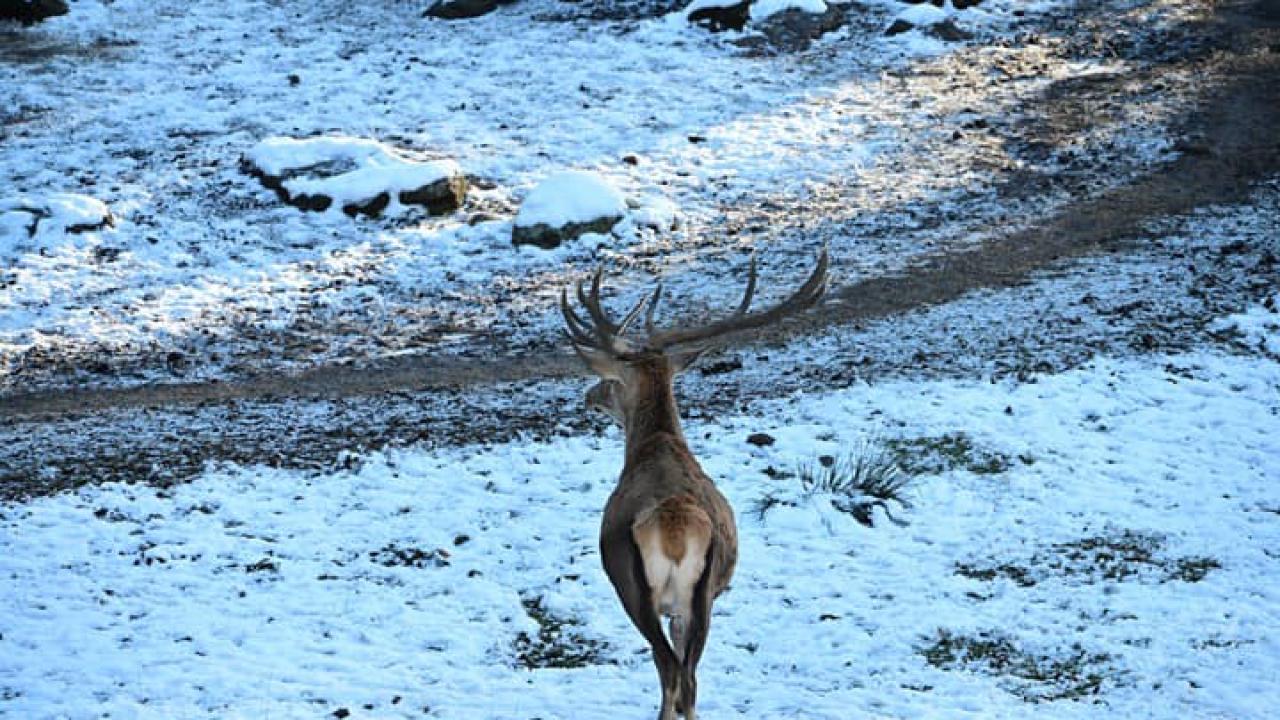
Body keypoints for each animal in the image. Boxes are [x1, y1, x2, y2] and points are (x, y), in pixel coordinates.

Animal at [563, 248, 829, 717]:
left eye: (611, 381)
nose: (589, 395)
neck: (655, 444)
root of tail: (673, 527)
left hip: (635, 589)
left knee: (672, 672)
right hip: (704, 592)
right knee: (689, 677)